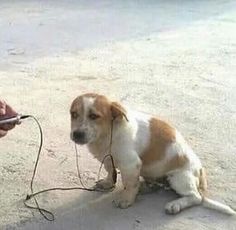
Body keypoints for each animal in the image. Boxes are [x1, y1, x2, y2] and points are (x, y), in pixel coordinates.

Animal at [69, 92, 234, 215]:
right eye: (73, 114)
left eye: (94, 116)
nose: (76, 134)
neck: (109, 133)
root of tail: (200, 171)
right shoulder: (109, 158)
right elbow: (111, 171)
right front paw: (108, 183)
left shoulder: (130, 164)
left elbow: (129, 184)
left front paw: (126, 200)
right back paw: (145, 187)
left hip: (179, 178)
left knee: (196, 197)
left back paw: (175, 205)